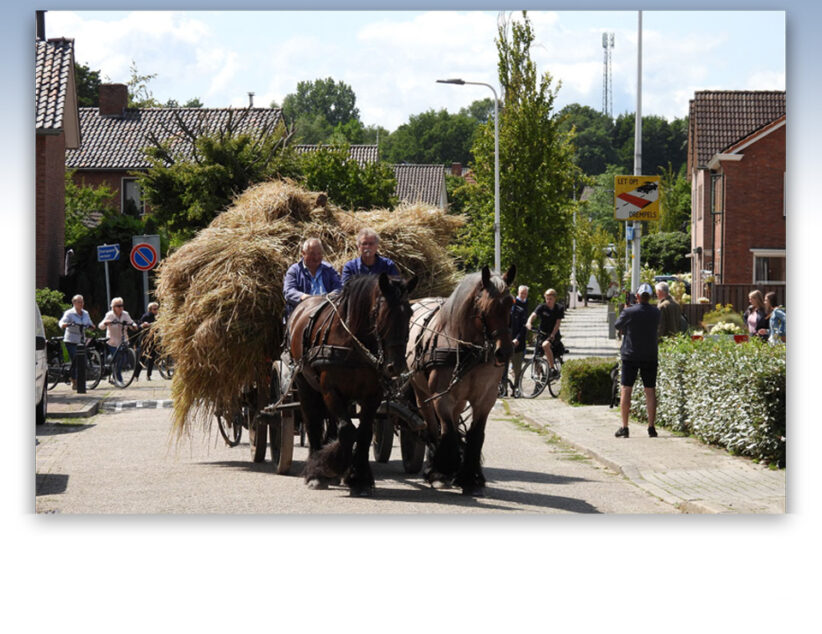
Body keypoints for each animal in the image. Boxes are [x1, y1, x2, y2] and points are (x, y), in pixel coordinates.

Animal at [290, 274, 418, 496]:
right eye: (381, 313)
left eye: (409, 313)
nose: (395, 366)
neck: (352, 345)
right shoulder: (330, 390)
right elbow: (347, 430)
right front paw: (330, 467)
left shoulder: (373, 395)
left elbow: (364, 433)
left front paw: (358, 479)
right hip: (305, 385)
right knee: (312, 422)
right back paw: (315, 472)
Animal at [410, 264, 520, 496]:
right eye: (486, 307)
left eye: (511, 304)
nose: (505, 352)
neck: (470, 350)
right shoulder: (441, 396)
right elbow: (447, 431)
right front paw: (442, 471)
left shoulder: (485, 399)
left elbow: (475, 435)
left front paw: (469, 477)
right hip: (421, 393)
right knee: (432, 428)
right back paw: (434, 469)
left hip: (459, 400)